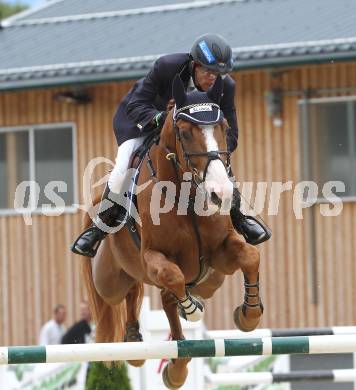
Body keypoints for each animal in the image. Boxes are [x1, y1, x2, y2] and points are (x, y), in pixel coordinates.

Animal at [82, 75, 262, 386]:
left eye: (225, 129)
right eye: (185, 133)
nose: (220, 194)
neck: (186, 195)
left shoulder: (221, 252)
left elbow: (250, 256)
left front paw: (249, 315)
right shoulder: (152, 256)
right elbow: (172, 276)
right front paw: (191, 309)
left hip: (209, 280)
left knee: (159, 300)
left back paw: (163, 359)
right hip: (109, 280)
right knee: (125, 295)